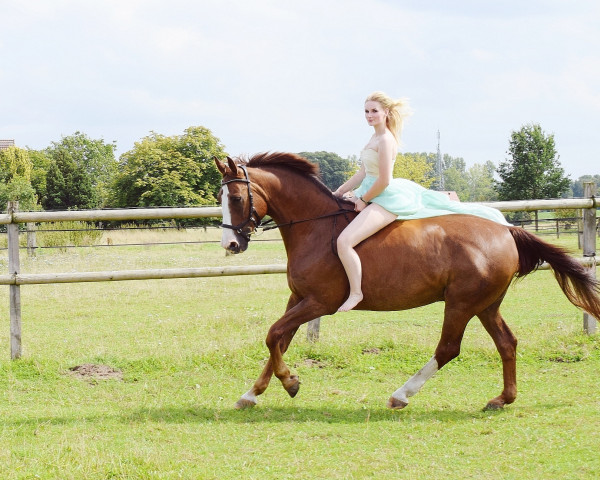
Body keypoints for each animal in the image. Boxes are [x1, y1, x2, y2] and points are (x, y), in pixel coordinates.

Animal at [216, 152, 600, 410]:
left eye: (235, 197)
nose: (231, 245)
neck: (316, 228)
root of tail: (506, 230)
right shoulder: (297, 299)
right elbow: (280, 339)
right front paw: (253, 394)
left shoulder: (318, 302)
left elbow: (273, 335)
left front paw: (290, 383)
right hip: (486, 304)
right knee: (507, 343)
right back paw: (502, 399)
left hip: (461, 304)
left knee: (448, 349)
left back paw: (401, 395)